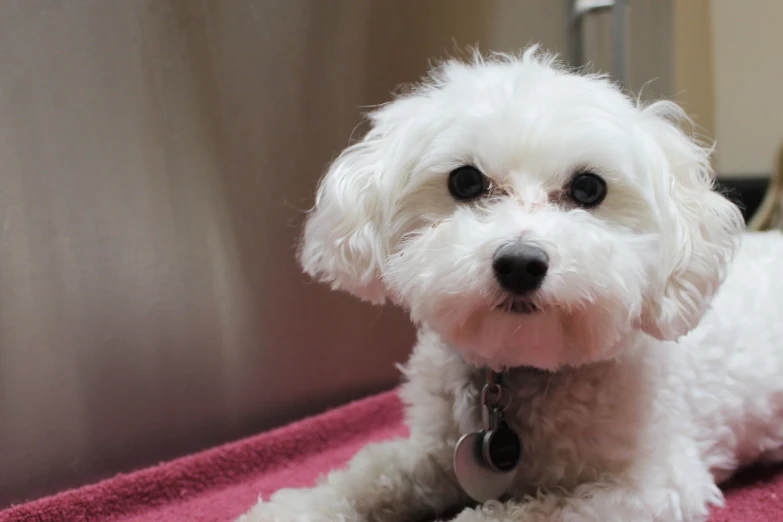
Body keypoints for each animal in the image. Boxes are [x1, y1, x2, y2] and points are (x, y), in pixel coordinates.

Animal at [240, 46, 783, 516]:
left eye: (589, 188)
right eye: (464, 181)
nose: (521, 263)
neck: (519, 372)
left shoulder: (651, 485)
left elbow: (517, 513)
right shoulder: (436, 453)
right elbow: (371, 471)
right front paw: (294, 508)